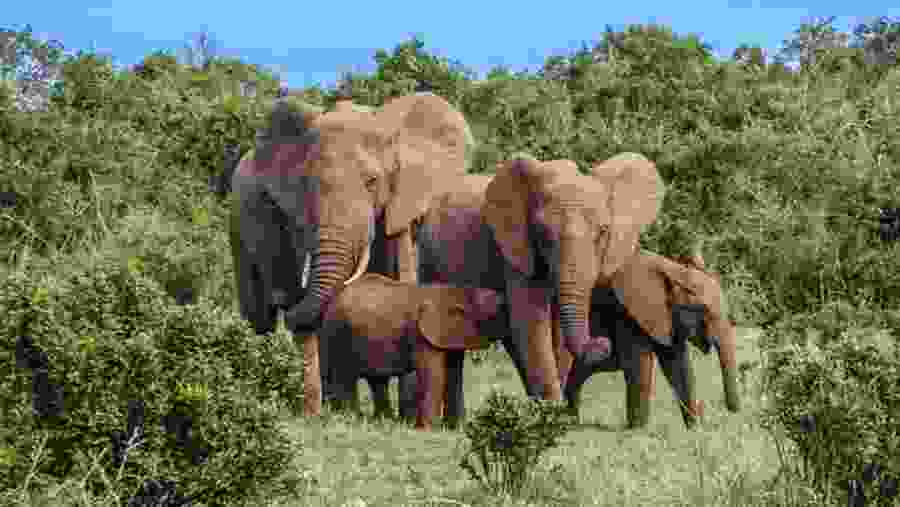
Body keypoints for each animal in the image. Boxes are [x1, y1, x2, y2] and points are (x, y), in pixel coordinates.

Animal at [228, 93, 477, 415]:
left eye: (372, 182)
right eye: (308, 184)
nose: (285, 299)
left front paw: (403, 415)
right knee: (259, 316)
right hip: (238, 220)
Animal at [318, 273, 508, 430]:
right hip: (338, 333)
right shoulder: (421, 334)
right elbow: (434, 375)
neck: (461, 291)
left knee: (377, 380)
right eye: (497, 314)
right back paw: (350, 419)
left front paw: (455, 429)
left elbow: (454, 373)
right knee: (344, 378)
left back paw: (382, 421)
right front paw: (428, 430)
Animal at [415, 154, 665, 408]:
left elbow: (556, 335)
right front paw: (551, 409)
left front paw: (551, 409)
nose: (603, 342)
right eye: (542, 233)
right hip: (428, 257)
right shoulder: (517, 250)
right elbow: (530, 321)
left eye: (603, 232)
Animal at [559, 252, 741, 428]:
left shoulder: (666, 319)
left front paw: (694, 428)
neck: (675, 271)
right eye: (703, 310)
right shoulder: (628, 314)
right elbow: (640, 365)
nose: (732, 412)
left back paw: (569, 420)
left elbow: (678, 365)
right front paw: (637, 430)